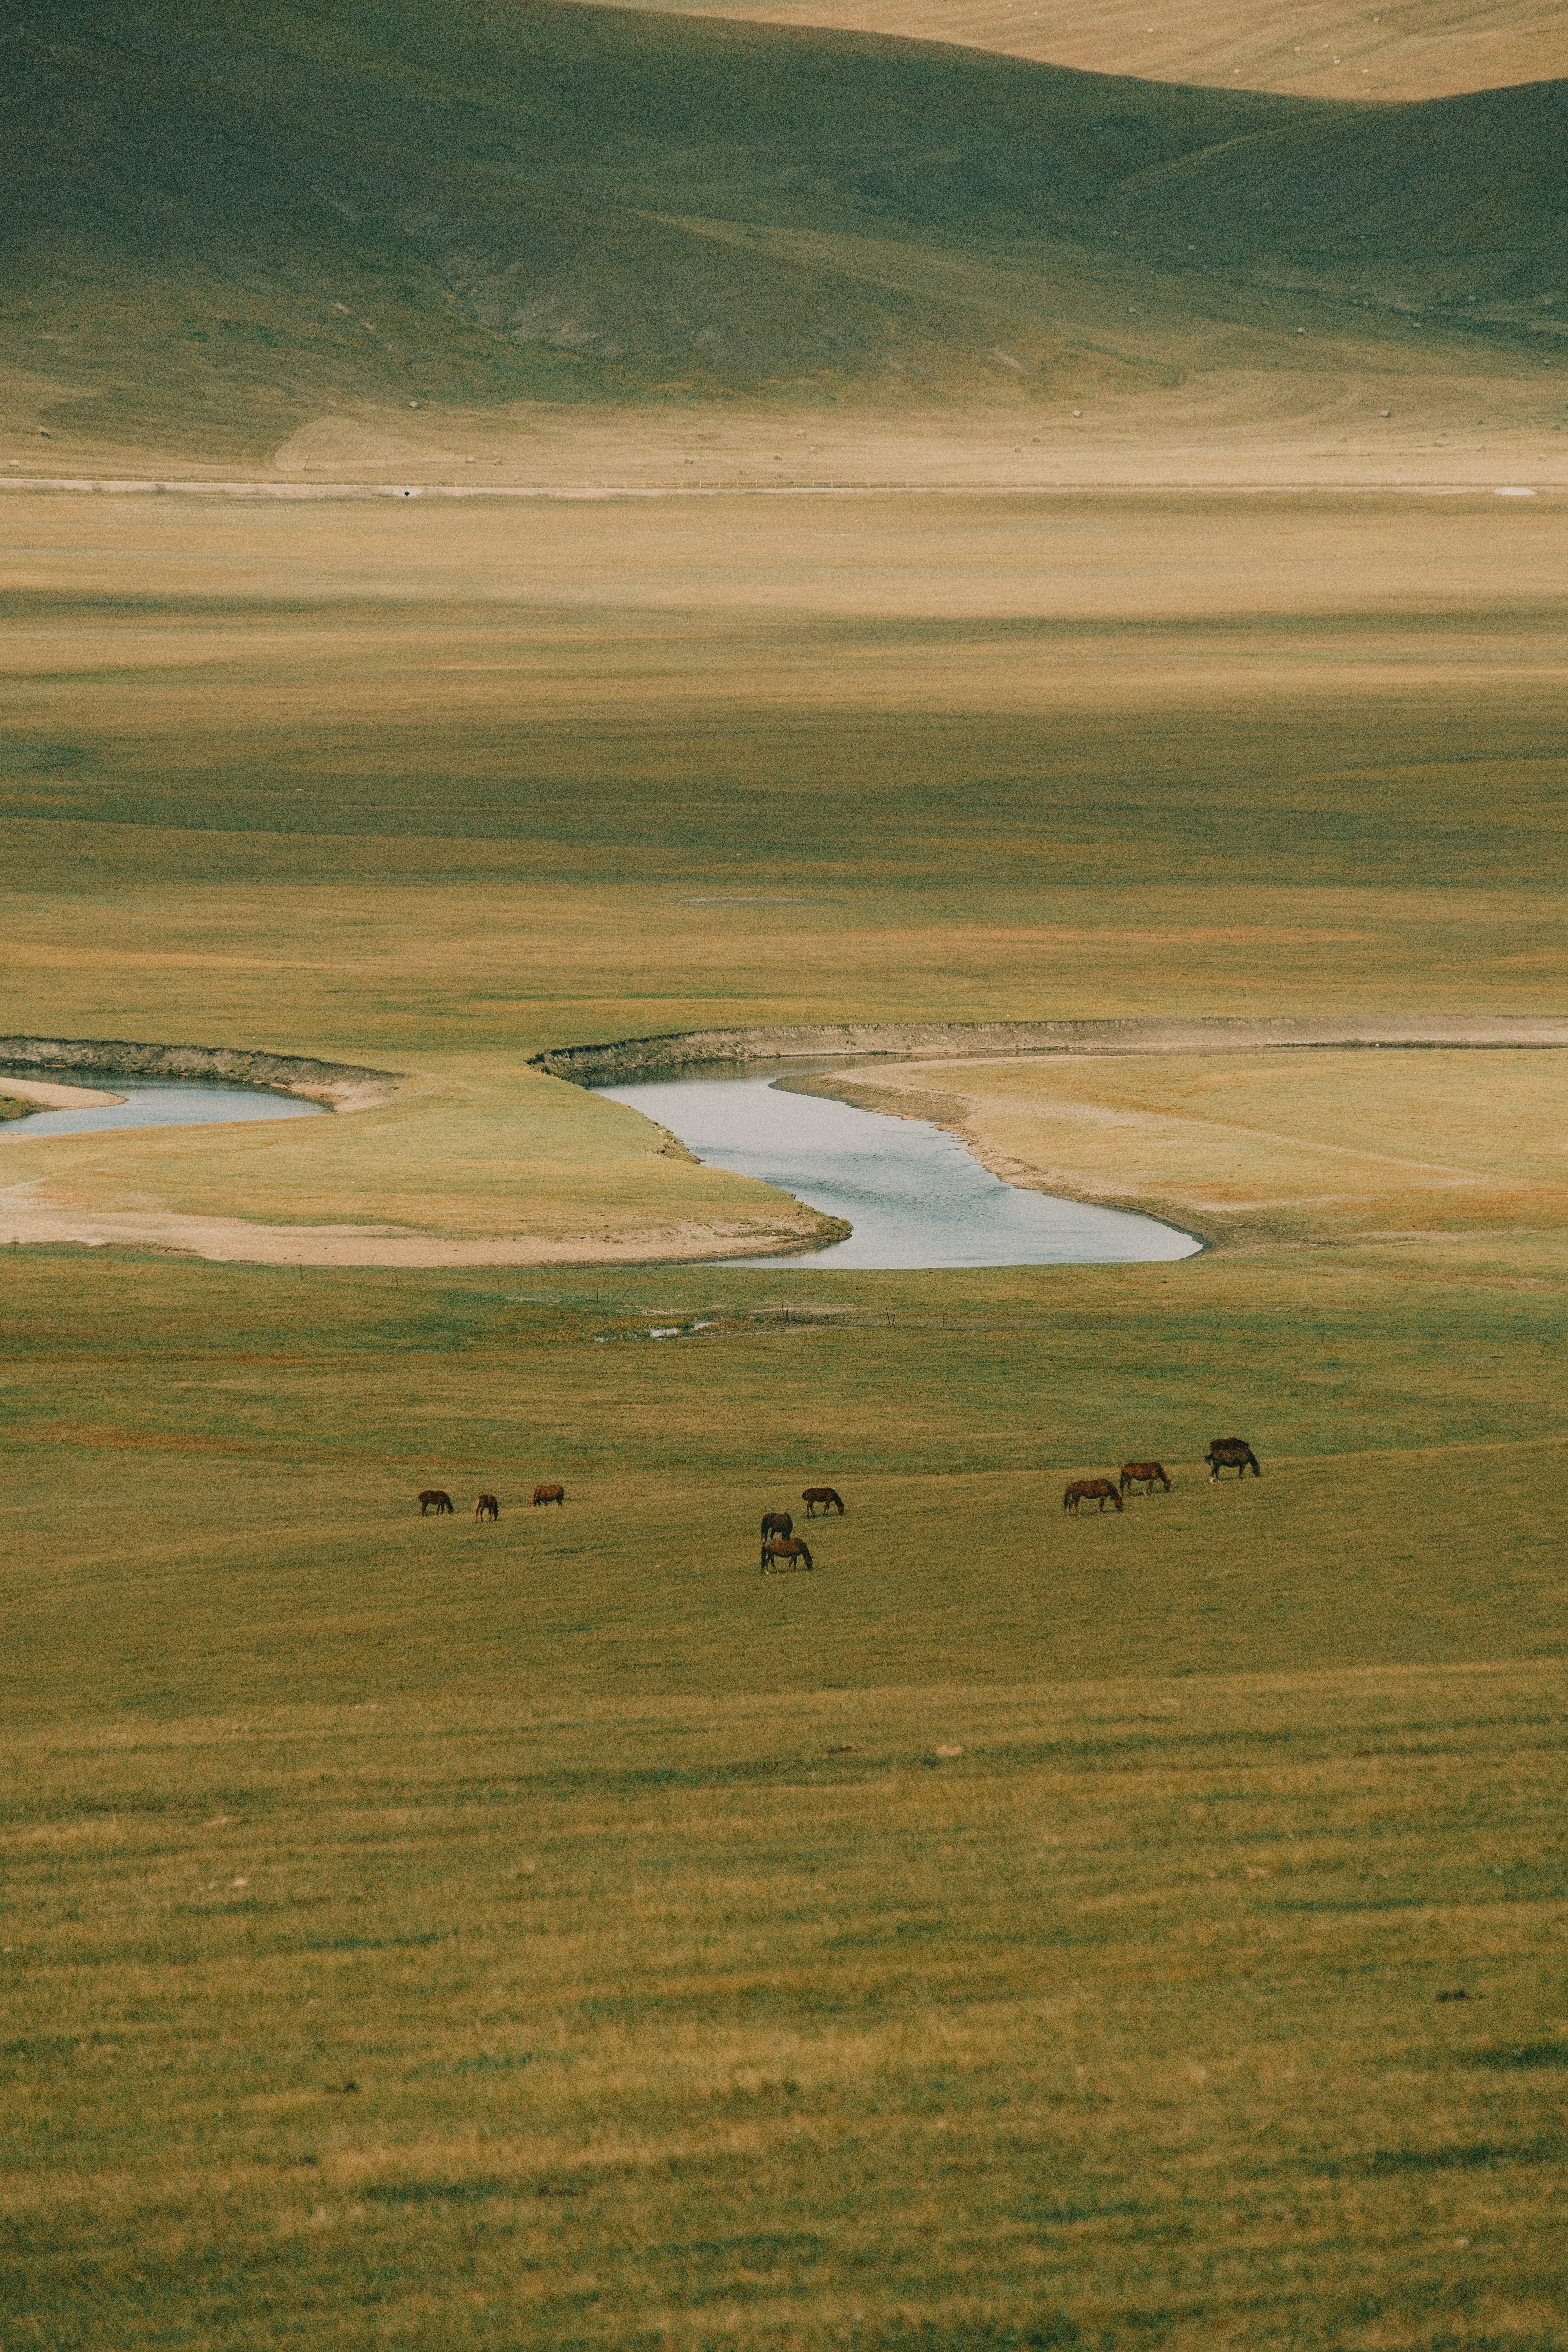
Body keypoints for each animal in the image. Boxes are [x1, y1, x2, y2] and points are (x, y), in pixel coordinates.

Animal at [762, 1536, 814, 1573]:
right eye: (810, 1561)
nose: (811, 1570)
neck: (798, 1545)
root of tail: (766, 1543)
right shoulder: (794, 1556)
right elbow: (791, 1563)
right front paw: (788, 1571)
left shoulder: (796, 1556)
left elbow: (795, 1563)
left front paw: (795, 1571)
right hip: (771, 1555)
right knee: (768, 1562)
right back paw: (769, 1572)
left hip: (772, 1555)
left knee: (771, 1563)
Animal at [802, 1486, 844, 1517]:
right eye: (842, 1508)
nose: (843, 1514)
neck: (833, 1494)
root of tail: (807, 1491)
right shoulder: (829, 1500)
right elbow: (827, 1507)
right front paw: (826, 1514)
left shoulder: (828, 1501)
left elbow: (827, 1507)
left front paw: (826, 1514)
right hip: (811, 1500)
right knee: (809, 1506)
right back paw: (812, 1515)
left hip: (811, 1501)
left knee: (809, 1506)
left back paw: (811, 1515)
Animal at [1063, 1478, 1122, 1515]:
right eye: (1121, 1503)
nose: (1121, 1511)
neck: (1107, 1485)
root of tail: (1071, 1485)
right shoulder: (1102, 1496)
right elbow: (1101, 1504)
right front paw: (1100, 1512)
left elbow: (1102, 1504)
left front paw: (1101, 1511)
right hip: (1075, 1497)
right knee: (1071, 1504)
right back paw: (1069, 1515)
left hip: (1078, 1497)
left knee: (1076, 1505)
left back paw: (1079, 1514)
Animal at [1119, 1462, 1171, 1496]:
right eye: (1169, 1484)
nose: (1169, 1491)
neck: (1158, 1469)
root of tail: (1124, 1467)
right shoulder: (1152, 1479)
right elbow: (1149, 1485)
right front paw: (1146, 1493)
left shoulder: (1152, 1479)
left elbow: (1151, 1486)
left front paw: (1151, 1492)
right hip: (1129, 1478)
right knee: (1128, 1485)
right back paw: (1131, 1495)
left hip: (1127, 1478)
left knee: (1123, 1485)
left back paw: (1122, 1494)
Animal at [1206, 1439, 1260, 1481]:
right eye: (1258, 1469)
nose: (1259, 1476)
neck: (1246, 1453)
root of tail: (1213, 1454)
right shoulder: (1243, 1464)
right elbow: (1241, 1471)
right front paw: (1241, 1478)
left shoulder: (1241, 1465)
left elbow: (1240, 1471)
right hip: (1217, 1465)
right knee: (1214, 1471)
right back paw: (1212, 1482)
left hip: (1218, 1465)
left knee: (1216, 1471)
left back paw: (1219, 1481)